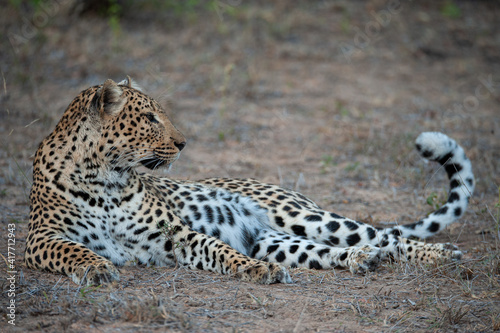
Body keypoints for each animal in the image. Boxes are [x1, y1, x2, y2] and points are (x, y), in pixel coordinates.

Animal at [24, 76, 476, 284]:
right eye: (150, 118)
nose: (183, 142)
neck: (105, 176)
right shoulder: (39, 238)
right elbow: (73, 251)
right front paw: (96, 268)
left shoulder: (174, 235)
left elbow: (218, 249)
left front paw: (255, 271)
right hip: (276, 241)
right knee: (339, 250)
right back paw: (360, 260)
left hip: (305, 217)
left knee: (389, 235)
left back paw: (441, 254)